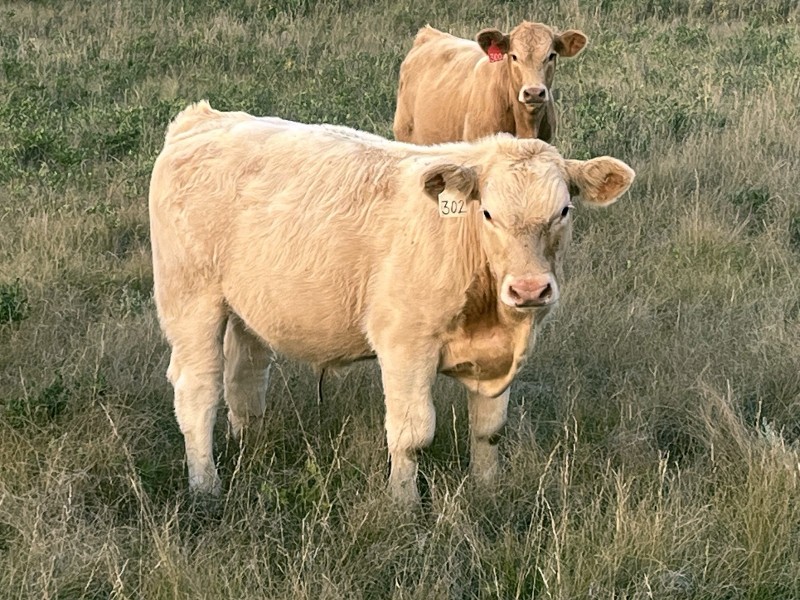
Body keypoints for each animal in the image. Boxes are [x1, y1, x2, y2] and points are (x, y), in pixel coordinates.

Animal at [149, 101, 634, 506]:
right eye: (488, 214)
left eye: (564, 211)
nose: (530, 290)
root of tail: (205, 118)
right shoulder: (405, 344)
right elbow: (411, 433)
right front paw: (404, 505)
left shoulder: (496, 358)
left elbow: (489, 430)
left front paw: (488, 491)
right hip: (191, 302)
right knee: (198, 390)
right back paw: (206, 485)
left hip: (248, 309)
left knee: (244, 382)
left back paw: (250, 450)